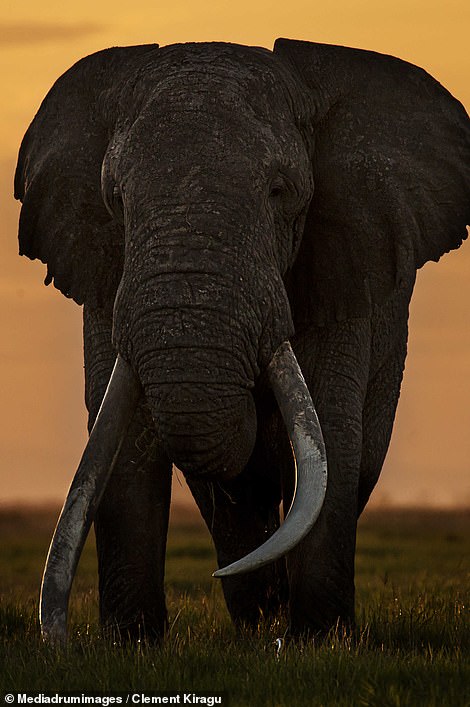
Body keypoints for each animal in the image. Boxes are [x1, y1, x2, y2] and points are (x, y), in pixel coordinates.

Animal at [13, 40, 466, 648]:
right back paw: (257, 619)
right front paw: (131, 645)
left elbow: (331, 428)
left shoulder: (344, 261)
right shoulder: (105, 277)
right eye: (116, 200)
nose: (61, 641)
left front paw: (319, 644)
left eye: (279, 193)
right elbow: (124, 444)